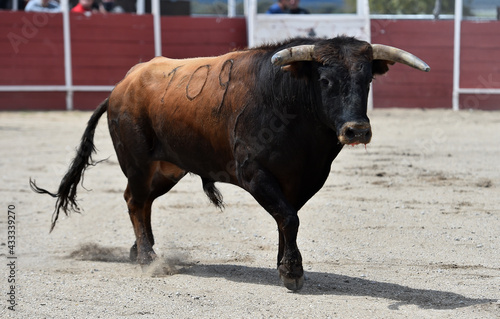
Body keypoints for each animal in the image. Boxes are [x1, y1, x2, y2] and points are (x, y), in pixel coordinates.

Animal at [31, 36, 430, 292]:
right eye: (326, 80)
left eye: (367, 80)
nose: (356, 130)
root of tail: (122, 87)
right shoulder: (254, 173)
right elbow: (289, 218)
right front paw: (291, 273)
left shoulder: (304, 180)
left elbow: (287, 218)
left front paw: (284, 265)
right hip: (139, 162)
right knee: (134, 200)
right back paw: (146, 258)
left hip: (168, 168)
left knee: (142, 203)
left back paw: (139, 251)